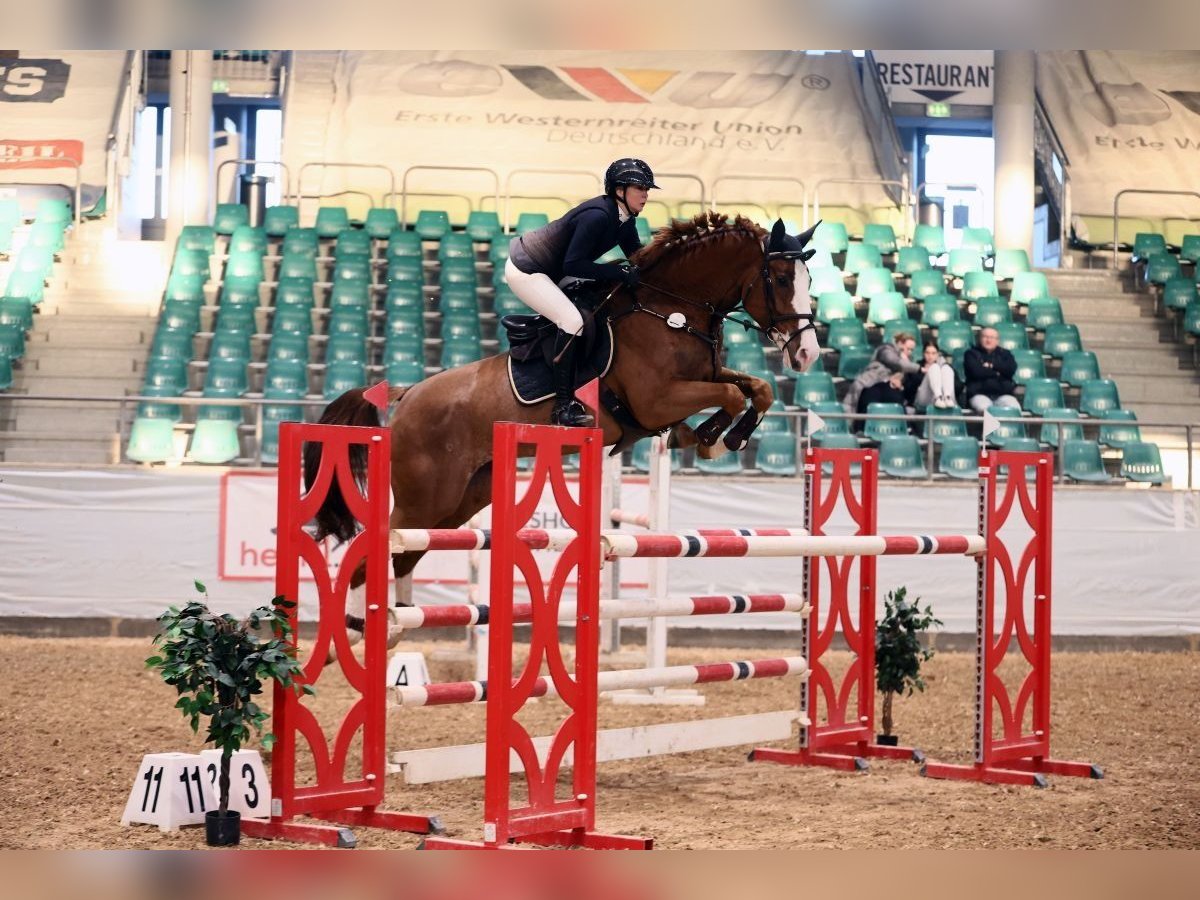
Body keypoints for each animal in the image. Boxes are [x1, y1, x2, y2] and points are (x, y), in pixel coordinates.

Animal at [304, 212, 820, 633]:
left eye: (809, 277)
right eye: (779, 277)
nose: (807, 354)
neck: (673, 310)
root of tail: (408, 395)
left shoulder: (705, 377)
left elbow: (758, 389)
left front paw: (719, 436)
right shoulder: (657, 400)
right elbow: (730, 396)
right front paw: (711, 436)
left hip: (460, 501)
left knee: (405, 554)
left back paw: (394, 629)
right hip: (426, 497)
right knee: (373, 552)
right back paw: (358, 632)